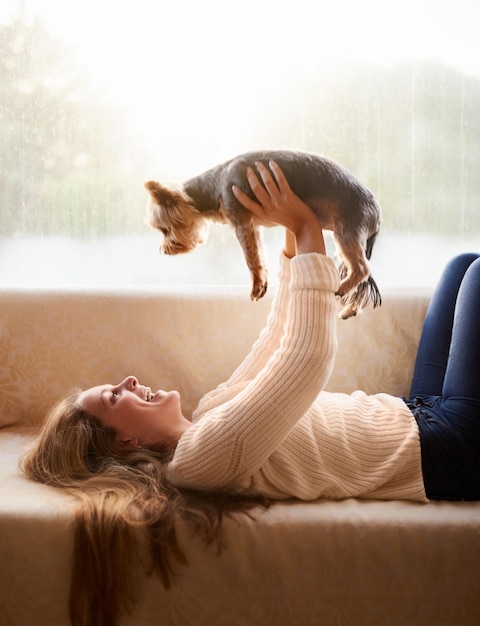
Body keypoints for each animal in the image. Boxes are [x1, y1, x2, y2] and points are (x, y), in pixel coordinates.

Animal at [144, 149, 380, 320]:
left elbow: (251, 258)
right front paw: (262, 283)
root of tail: (377, 213)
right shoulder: (252, 226)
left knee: (362, 268)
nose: (164, 250)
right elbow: (258, 253)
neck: (214, 187)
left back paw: (341, 287)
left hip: (347, 229)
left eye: (165, 230)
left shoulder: (241, 222)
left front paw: (256, 286)